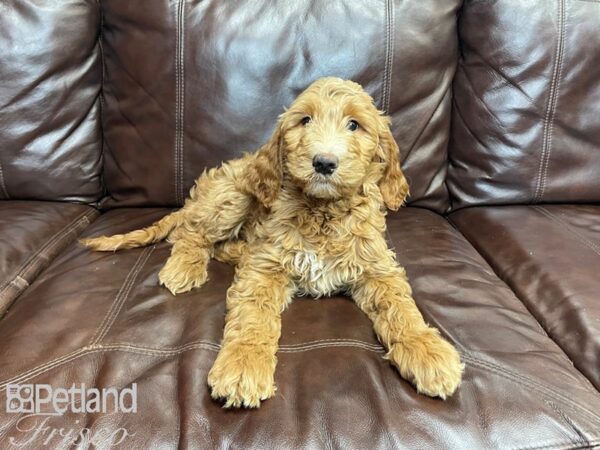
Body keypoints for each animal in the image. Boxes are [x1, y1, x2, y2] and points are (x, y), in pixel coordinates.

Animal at [81, 77, 464, 408]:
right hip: (231, 196)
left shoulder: (377, 266)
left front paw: (427, 350)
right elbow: (253, 316)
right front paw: (244, 364)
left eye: (355, 125)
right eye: (305, 120)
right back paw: (183, 267)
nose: (324, 163)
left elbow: (400, 307)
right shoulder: (264, 268)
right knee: (191, 233)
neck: (322, 211)